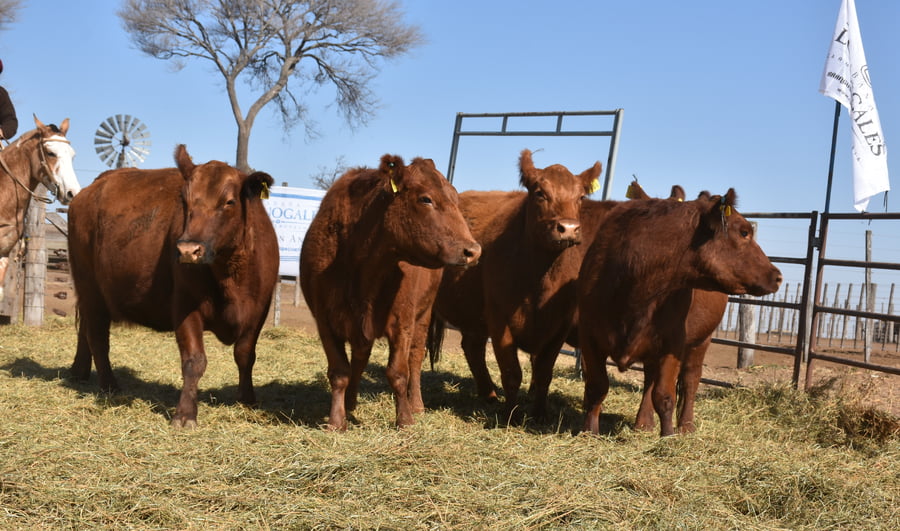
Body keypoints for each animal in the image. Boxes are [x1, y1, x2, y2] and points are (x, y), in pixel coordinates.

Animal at [67, 145, 278, 428]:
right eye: (185, 202)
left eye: (229, 202)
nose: (188, 250)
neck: (230, 276)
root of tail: (94, 186)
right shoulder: (185, 307)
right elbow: (194, 360)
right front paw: (185, 414)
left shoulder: (258, 311)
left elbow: (245, 355)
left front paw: (247, 401)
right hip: (90, 287)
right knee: (98, 337)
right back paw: (110, 385)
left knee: (86, 331)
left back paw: (79, 372)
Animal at [300, 154, 481, 431]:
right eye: (425, 199)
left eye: (456, 198)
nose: (473, 250)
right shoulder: (325, 319)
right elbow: (340, 371)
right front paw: (336, 421)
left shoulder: (402, 320)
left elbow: (398, 371)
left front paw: (404, 419)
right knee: (360, 357)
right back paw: (350, 402)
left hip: (424, 315)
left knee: (415, 358)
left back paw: (416, 404)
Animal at [428, 149, 602, 420]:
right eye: (540, 193)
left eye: (581, 196)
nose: (568, 228)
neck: (537, 280)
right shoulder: (500, 319)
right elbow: (512, 373)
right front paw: (510, 414)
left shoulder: (559, 326)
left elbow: (543, 373)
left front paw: (539, 414)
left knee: (472, 347)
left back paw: (489, 395)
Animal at [577, 189, 782, 436]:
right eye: (744, 232)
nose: (777, 275)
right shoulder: (589, 336)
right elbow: (597, 387)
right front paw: (590, 432)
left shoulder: (673, 342)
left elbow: (665, 395)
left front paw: (668, 436)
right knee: (650, 379)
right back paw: (643, 424)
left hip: (701, 340)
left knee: (689, 380)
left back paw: (685, 426)